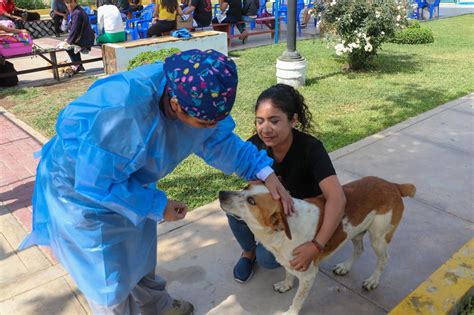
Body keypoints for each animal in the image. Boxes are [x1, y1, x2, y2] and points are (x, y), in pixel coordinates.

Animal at [218, 177, 414, 314]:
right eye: (245, 187)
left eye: (251, 201)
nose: (221, 193)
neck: (282, 231)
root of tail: (393, 185)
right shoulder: (288, 261)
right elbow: (288, 273)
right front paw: (286, 284)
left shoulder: (308, 276)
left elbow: (298, 299)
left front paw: (291, 312)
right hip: (355, 231)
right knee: (359, 249)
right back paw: (345, 267)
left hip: (378, 238)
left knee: (383, 259)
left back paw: (373, 280)